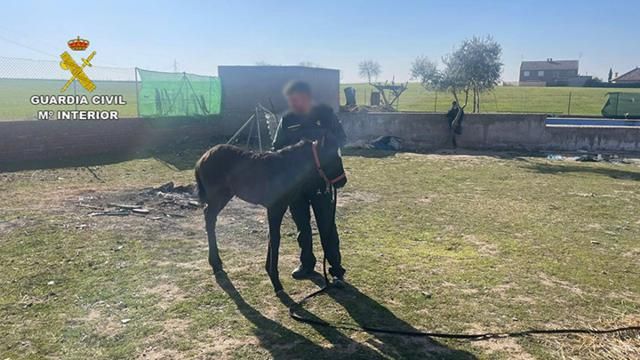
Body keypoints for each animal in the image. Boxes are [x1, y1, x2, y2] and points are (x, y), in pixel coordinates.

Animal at [195, 141, 332, 292]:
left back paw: (216, 263)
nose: (341, 181)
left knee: (209, 216)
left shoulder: (275, 208)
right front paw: (276, 281)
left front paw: (269, 271)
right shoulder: (275, 208)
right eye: (333, 157)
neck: (286, 168)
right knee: (210, 219)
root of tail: (203, 158)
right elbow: (275, 238)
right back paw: (215, 263)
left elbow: (271, 236)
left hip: (225, 195)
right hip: (217, 196)